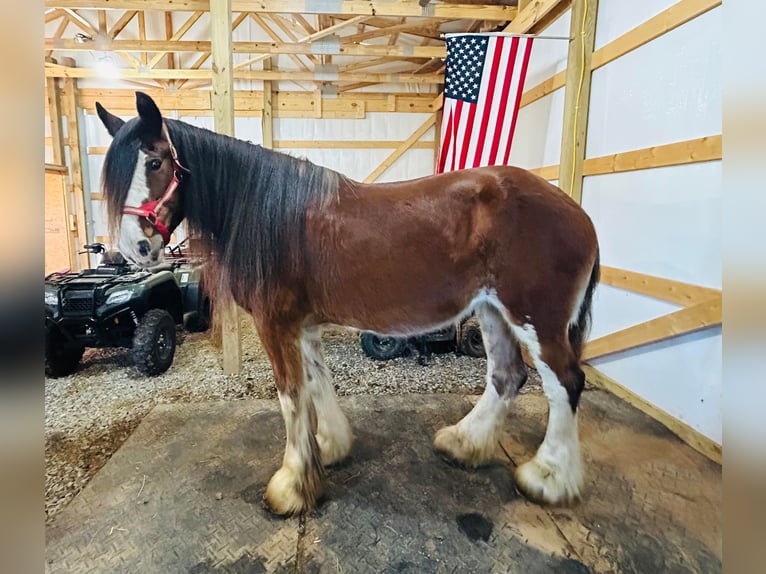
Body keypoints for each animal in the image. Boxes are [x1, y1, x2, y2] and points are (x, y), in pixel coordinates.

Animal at [94, 93, 600, 516]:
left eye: (155, 161)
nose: (136, 248)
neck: (268, 212)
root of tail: (578, 213)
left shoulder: (275, 325)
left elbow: (291, 397)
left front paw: (292, 486)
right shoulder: (302, 326)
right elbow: (317, 385)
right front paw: (329, 448)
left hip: (536, 320)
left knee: (564, 385)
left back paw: (548, 478)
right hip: (492, 311)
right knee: (507, 376)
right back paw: (464, 443)